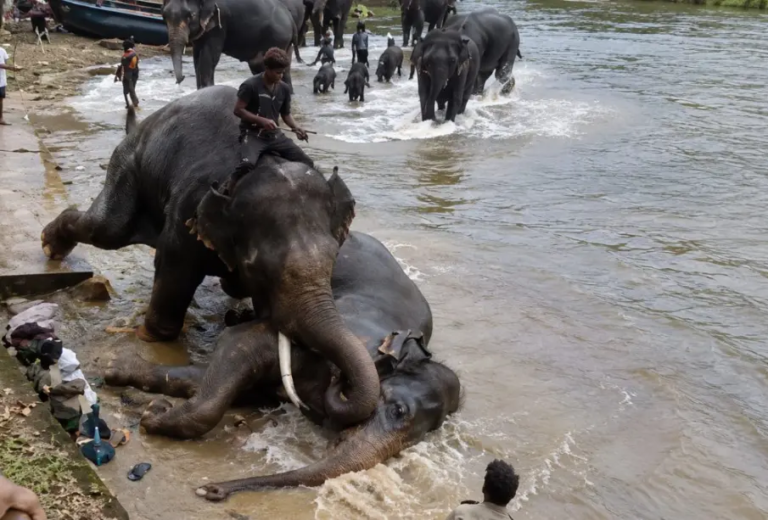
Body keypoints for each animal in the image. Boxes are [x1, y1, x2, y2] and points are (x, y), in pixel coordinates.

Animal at [39, 86, 382, 428]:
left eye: (334, 258)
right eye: (258, 267)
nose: (340, 383)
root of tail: (143, 125)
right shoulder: (188, 212)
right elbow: (175, 265)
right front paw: (148, 335)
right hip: (127, 166)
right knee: (108, 228)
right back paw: (49, 246)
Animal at [103, 231, 461, 501]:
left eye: (415, 443)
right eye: (398, 411)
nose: (211, 489)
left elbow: (231, 383)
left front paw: (153, 405)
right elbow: (238, 346)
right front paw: (128, 384)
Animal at [162, 0, 304, 90]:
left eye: (190, 15)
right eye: (164, 16)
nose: (181, 79)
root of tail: (291, 19)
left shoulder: (219, 24)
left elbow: (209, 58)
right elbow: (197, 58)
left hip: (277, 37)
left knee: (260, 64)